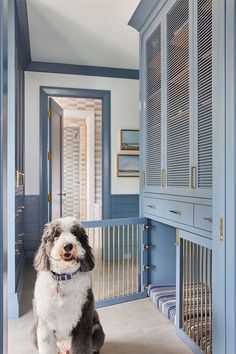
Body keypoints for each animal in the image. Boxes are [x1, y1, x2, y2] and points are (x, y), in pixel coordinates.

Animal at [31, 216, 104, 354]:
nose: (68, 246)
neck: (63, 279)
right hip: (34, 331)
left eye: (75, 234)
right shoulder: (44, 325)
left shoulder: (83, 322)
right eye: (56, 234)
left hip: (97, 331)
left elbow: (81, 347)